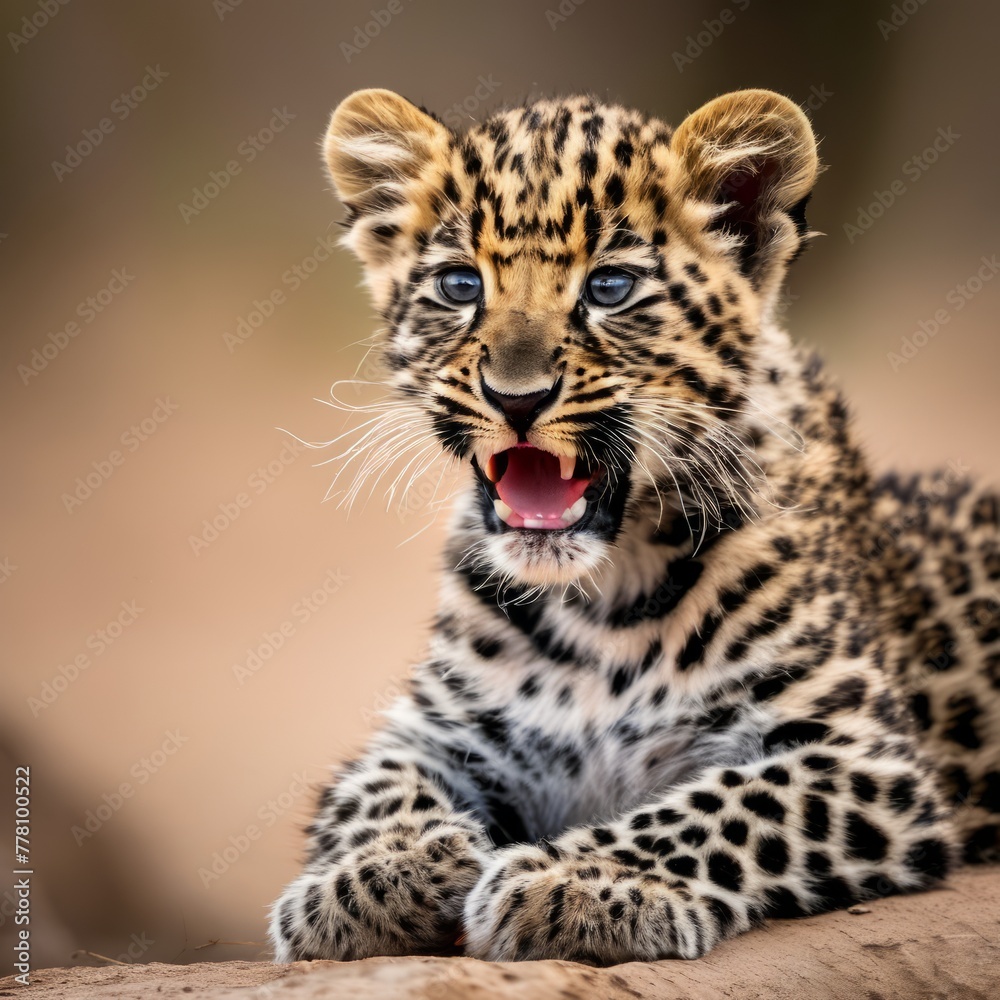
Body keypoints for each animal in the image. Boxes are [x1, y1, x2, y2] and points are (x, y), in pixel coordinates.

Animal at [268, 87, 1000, 965]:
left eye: (611, 287)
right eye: (459, 284)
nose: (516, 397)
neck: (599, 599)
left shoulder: (859, 756)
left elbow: (720, 809)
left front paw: (581, 883)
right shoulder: (434, 730)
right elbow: (378, 790)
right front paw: (373, 877)